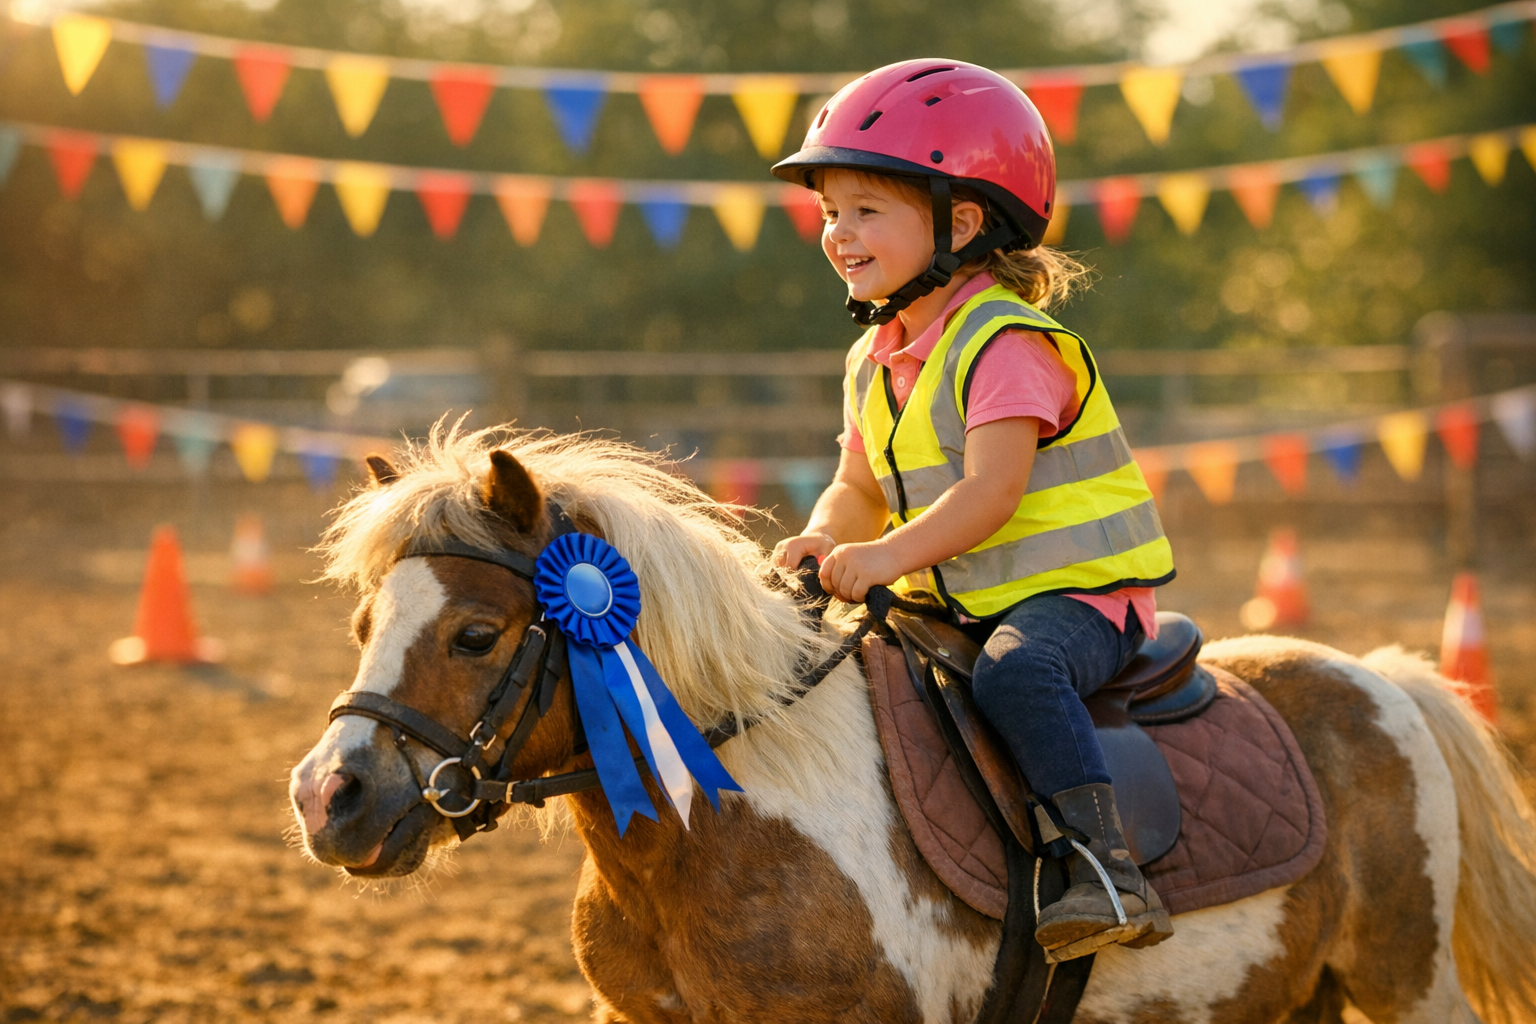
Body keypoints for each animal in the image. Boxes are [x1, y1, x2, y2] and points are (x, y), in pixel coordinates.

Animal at [289, 424, 1536, 1024]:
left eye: (475, 635)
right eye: (362, 621)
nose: (326, 795)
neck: (716, 835)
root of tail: (1378, 678)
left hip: (1409, 988)